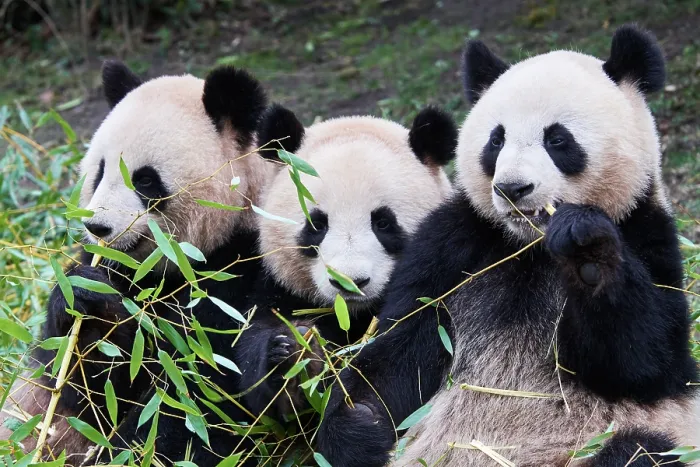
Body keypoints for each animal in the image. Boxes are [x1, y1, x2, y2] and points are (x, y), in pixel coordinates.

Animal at [0, 61, 275, 465]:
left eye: (145, 180)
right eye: (100, 171)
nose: (98, 227)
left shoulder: (241, 271)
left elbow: (201, 399)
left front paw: (131, 451)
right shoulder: (111, 267)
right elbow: (83, 387)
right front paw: (87, 303)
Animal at [234, 104, 457, 421]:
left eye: (383, 223)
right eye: (317, 224)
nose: (349, 281)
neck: (351, 314)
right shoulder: (280, 288)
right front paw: (296, 354)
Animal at [316, 25, 700, 467]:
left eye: (558, 139)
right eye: (496, 141)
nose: (512, 188)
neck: (529, 245)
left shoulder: (646, 231)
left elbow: (648, 361)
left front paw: (587, 251)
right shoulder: (453, 246)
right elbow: (401, 349)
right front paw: (355, 427)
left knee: (639, 449)